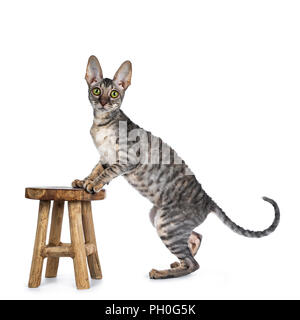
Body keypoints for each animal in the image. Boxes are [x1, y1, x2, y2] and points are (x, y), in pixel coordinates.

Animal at [71, 56, 280, 278]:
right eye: (96, 91)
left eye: (113, 94)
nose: (103, 102)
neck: (101, 124)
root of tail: (208, 200)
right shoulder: (105, 156)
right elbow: (95, 170)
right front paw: (83, 181)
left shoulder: (128, 159)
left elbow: (107, 172)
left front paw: (94, 184)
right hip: (158, 218)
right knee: (196, 239)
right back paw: (176, 263)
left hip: (167, 224)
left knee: (194, 264)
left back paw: (160, 273)